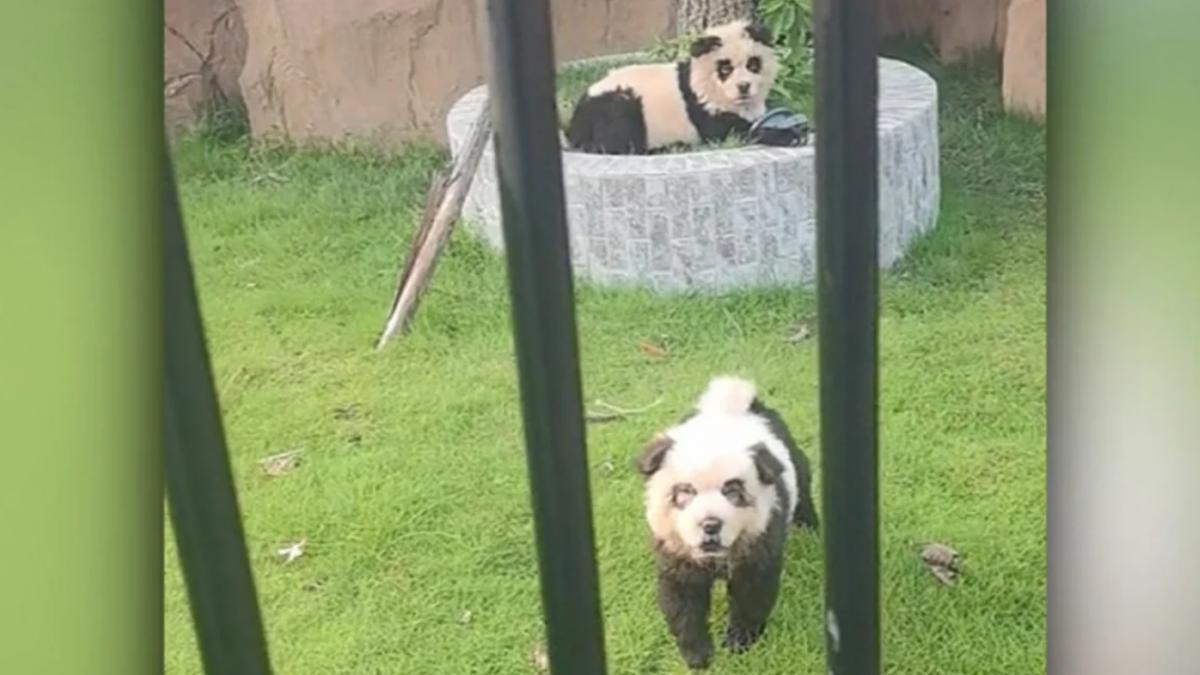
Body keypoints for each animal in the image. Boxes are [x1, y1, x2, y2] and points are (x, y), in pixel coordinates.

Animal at [565, 20, 779, 155]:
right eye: (725, 69)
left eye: (753, 65)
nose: (744, 86)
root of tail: (575, 124)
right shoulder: (703, 104)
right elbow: (729, 132)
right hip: (619, 102)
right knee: (616, 137)